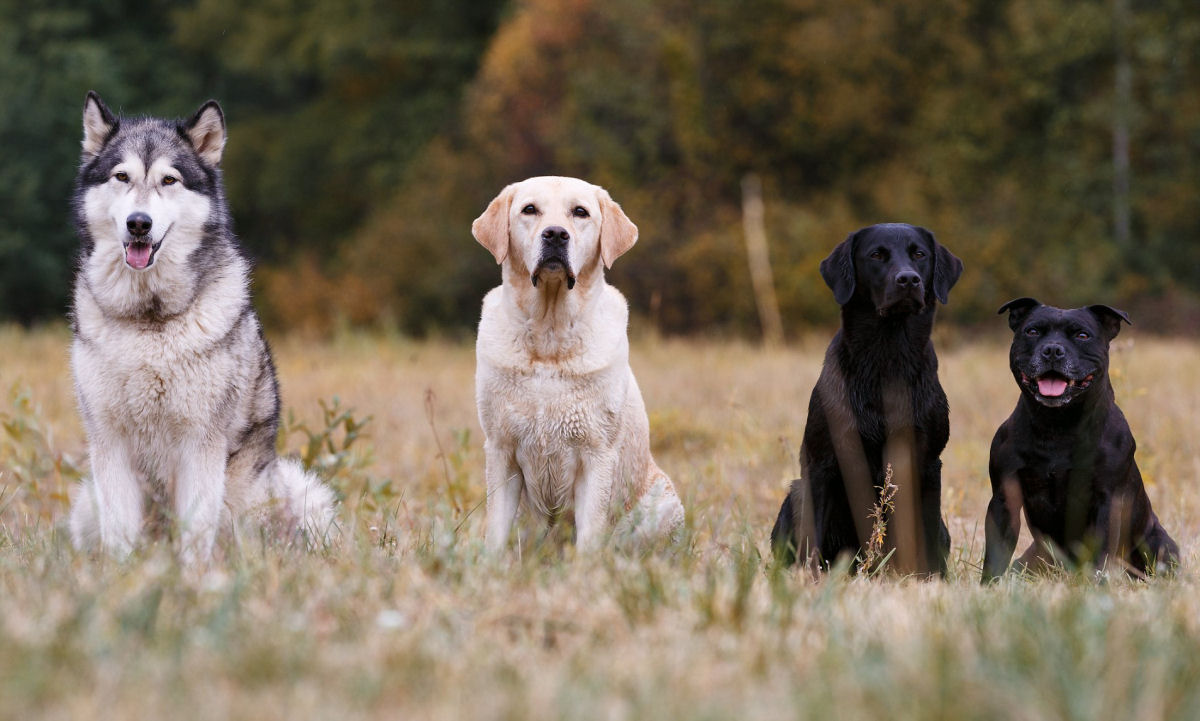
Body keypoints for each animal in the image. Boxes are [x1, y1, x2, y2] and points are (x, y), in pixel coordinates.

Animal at [470, 173, 686, 551]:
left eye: (580, 212)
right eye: (529, 209)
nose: (556, 234)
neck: (549, 337)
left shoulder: (596, 453)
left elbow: (589, 536)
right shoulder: (501, 450)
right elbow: (496, 532)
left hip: (664, 502)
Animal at [768, 225, 964, 573]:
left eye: (919, 254)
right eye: (876, 255)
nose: (908, 279)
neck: (887, 359)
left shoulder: (928, 462)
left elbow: (925, 536)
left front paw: (930, 579)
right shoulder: (821, 463)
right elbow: (811, 539)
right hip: (794, 495)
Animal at [984, 297, 1180, 578]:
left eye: (1082, 335)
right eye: (1032, 331)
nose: (1052, 350)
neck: (1058, 424)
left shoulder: (1106, 499)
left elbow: (1100, 552)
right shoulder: (1004, 498)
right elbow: (995, 553)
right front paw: (989, 584)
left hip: (1160, 547)